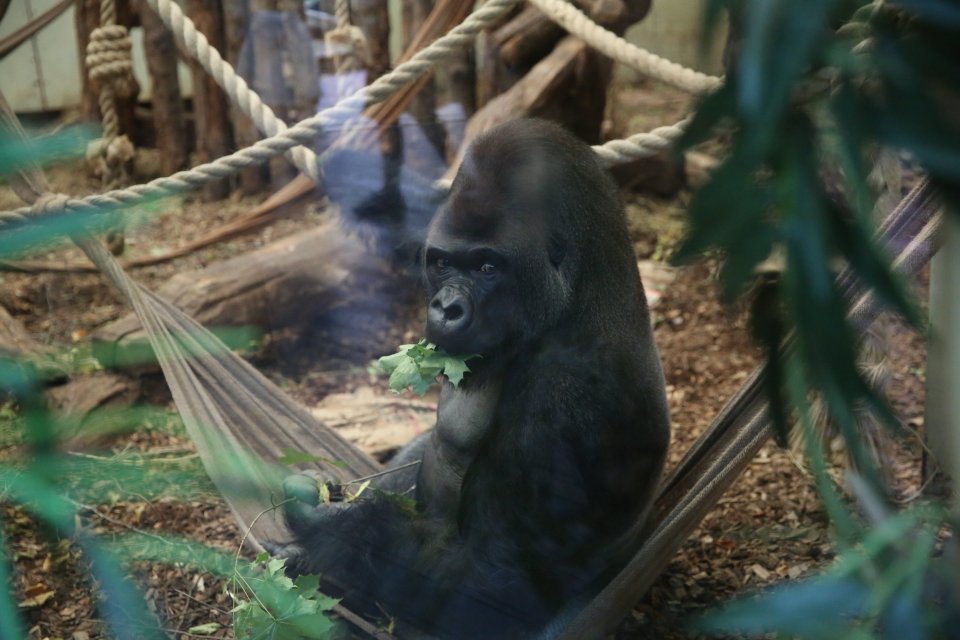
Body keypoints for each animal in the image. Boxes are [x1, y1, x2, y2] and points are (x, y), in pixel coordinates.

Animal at [284, 119, 668, 636]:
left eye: (488, 267)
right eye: (444, 262)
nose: (446, 308)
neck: (584, 293)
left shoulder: (565, 396)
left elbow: (495, 587)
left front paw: (339, 522)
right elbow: (410, 212)